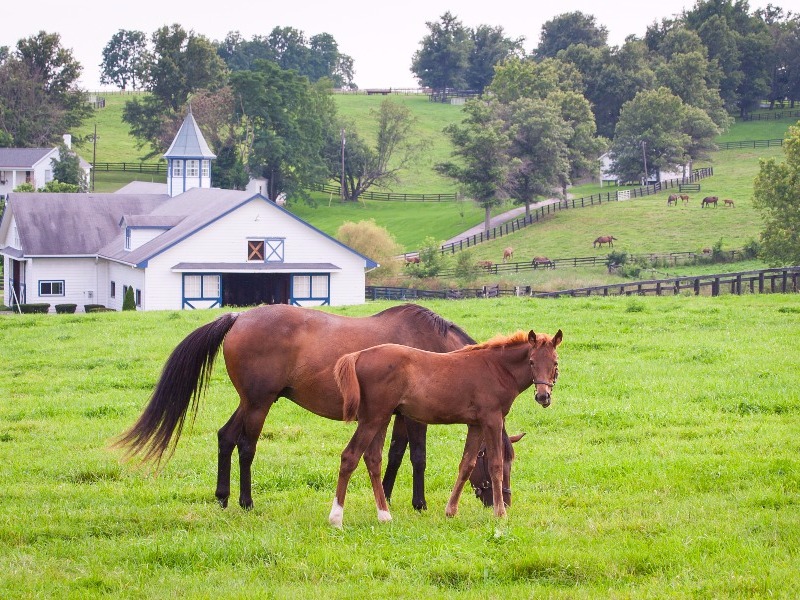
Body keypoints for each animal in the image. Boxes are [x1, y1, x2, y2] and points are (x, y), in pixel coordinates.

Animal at [112, 304, 516, 510]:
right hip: (259, 404)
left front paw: (384, 495)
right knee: (245, 445)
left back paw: (223, 498)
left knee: (225, 437)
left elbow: (396, 454)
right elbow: (417, 457)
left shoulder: (399, 415)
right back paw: (245, 501)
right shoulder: (417, 417)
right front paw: (419, 504)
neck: (434, 349)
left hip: (249, 402)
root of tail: (238, 317)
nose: (504, 501)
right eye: (502, 462)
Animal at [332, 328, 564, 524]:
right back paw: (336, 518)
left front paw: (451, 510)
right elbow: (494, 465)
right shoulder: (492, 420)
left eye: (555, 362)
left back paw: (384, 515)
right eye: (532, 362)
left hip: (381, 418)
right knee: (350, 456)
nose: (543, 396)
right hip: (372, 419)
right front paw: (500, 514)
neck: (496, 368)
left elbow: (466, 465)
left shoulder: (475, 425)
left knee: (373, 459)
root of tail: (358, 355)